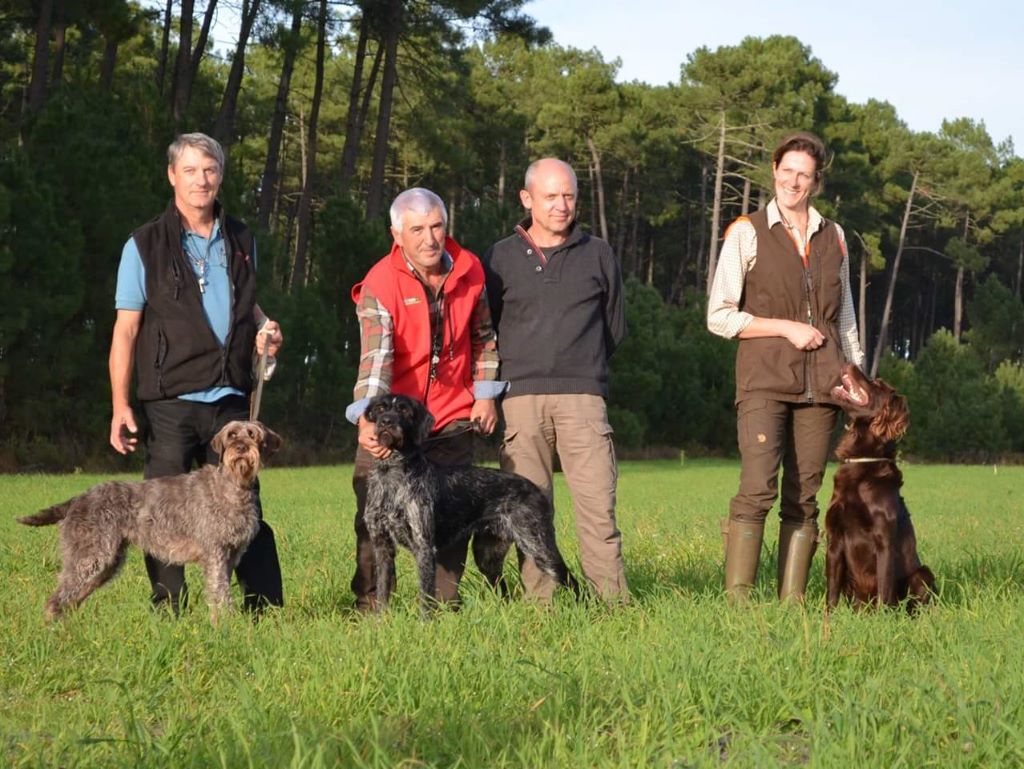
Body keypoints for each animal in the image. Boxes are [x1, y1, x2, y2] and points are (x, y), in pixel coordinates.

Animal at [19, 421, 282, 618]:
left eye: (253, 434)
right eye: (231, 434)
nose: (241, 447)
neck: (234, 486)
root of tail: (76, 500)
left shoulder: (231, 555)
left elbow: (222, 590)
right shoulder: (215, 553)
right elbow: (220, 592)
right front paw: (225, 625)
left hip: (105, 562)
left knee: (72, 599)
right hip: (90, 557)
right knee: (57, 599)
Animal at [364, 393, 581, 610]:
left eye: (404, 410)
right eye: (380, 408)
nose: (386, 422)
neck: (390, 474)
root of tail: (536, 489)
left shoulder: (423, 546)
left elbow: (426, 598)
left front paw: (424, 618)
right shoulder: (382, 546)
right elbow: (382, 592)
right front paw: (381, 618)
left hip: (537, 545)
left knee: (569, 579)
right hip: (487, 555)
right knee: (503, 589)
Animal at [823, 364, 937, 610]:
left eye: (876, 384)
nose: (850, 364)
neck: (862, 462)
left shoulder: (884, 539)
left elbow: (885, 589)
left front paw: (883, 617)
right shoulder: (834, 539)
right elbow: (832, 592)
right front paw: (827, 616)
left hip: (922, 574)